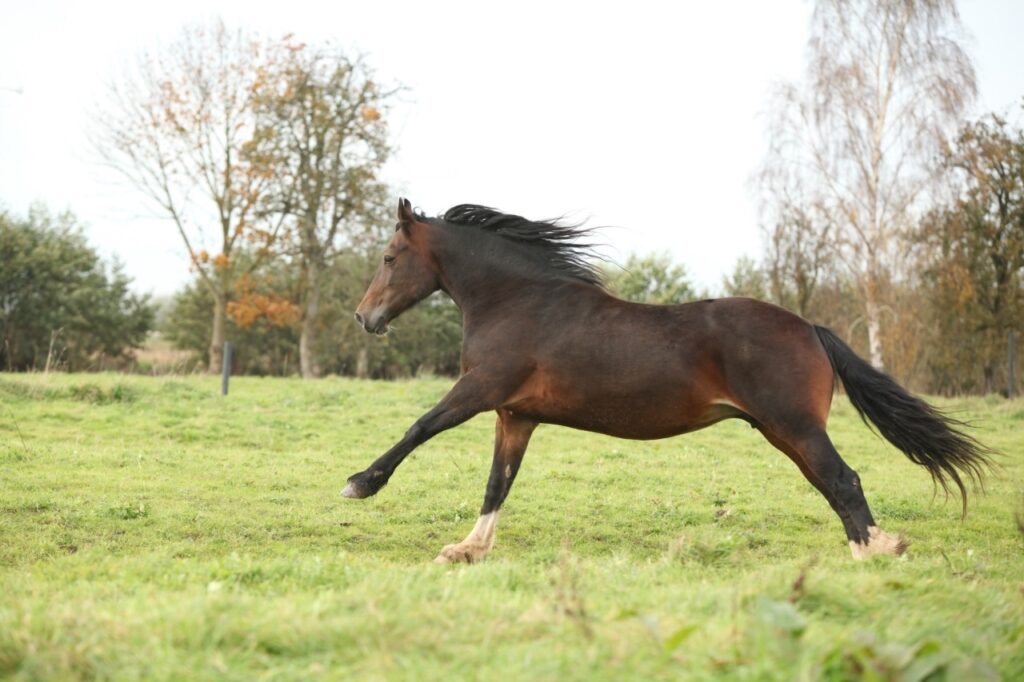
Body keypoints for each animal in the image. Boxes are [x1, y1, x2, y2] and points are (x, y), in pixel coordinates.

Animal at [345, 198, 990, 563]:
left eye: (388, 257)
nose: (364, 317)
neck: (519, 301)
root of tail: (809, 326)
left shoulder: (480, 390)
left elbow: (420, 426)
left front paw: (359, 484)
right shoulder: (516, 416)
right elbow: (497, 484)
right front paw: (467, 549)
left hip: (793, 425)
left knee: (843, 479)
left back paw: (875, 550)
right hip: (780, 431)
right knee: (832, 483)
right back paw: (871, 546)